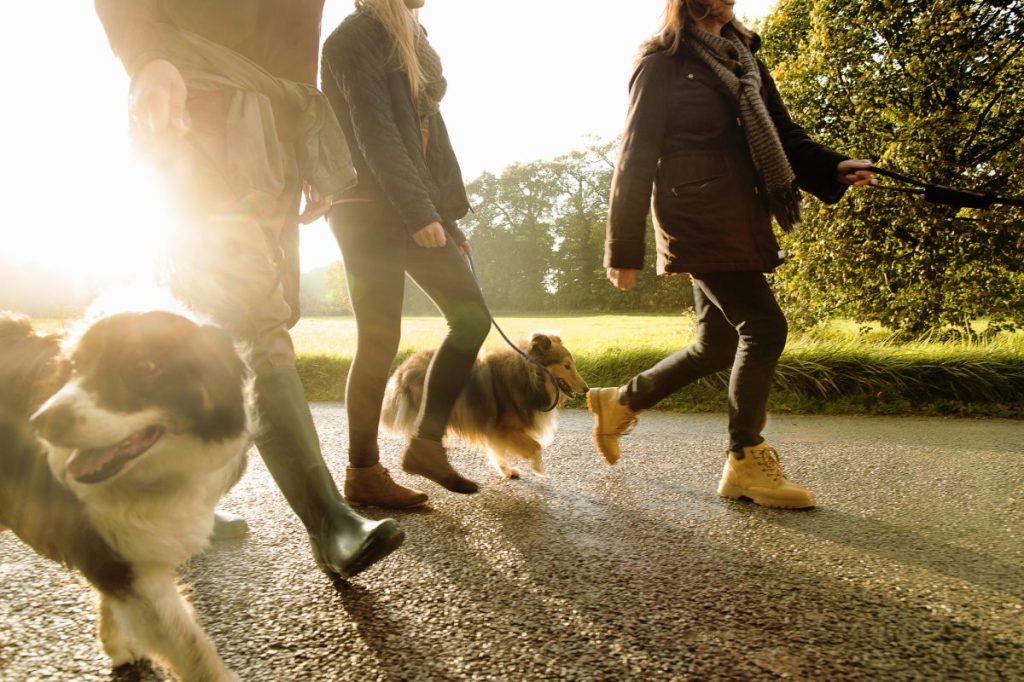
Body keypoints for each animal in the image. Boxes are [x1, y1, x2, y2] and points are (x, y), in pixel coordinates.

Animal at [0, 309, 251, 679]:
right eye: (76, 366)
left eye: (144, 366)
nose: (41, 422)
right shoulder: (116, 555)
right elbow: (192, 648)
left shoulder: (123, 545)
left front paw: (114, 644)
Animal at [380, 331, 589, 475]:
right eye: (567, 366)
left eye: (572, 364)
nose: (587, 389)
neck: (530, 377)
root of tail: (403, 368)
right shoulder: (502, 428)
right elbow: (536, 447)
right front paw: (538, 469)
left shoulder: (495, 431)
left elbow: (497, 451)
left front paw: (507, 471)